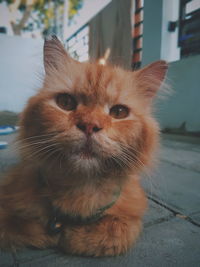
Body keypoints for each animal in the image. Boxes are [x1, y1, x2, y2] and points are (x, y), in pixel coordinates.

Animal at [0, 35, 168, 258]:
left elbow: (117, 230)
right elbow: (17, 225)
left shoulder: (131, 212)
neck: (80, 190)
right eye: (65, 102)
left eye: (119, 112)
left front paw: (79, 238)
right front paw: (44, 234)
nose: (89, 125)